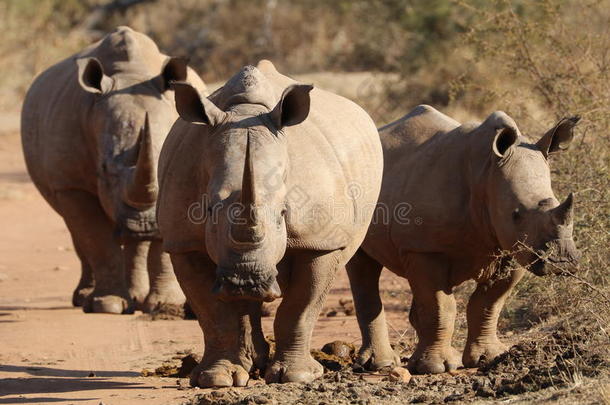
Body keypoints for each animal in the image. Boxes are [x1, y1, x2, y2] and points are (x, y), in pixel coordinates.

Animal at [157, 59, 380, 386]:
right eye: (207, 209)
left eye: (284, 214)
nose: (246, 281)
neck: (245, 112)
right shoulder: (183, 240)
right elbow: (213, 312)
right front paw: (217, 379)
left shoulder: (320, 240)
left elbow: (300, 306)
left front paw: (297, 376)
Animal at [346, 106, 580, 372]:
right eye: (516, 214)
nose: (561, 262)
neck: (486, 173)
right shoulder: (424, 249)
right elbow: (442, 307)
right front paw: (436, 368)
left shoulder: (513, 248)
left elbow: (488, 303)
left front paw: (488, 357)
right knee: (362, 267)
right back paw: (382, 365)